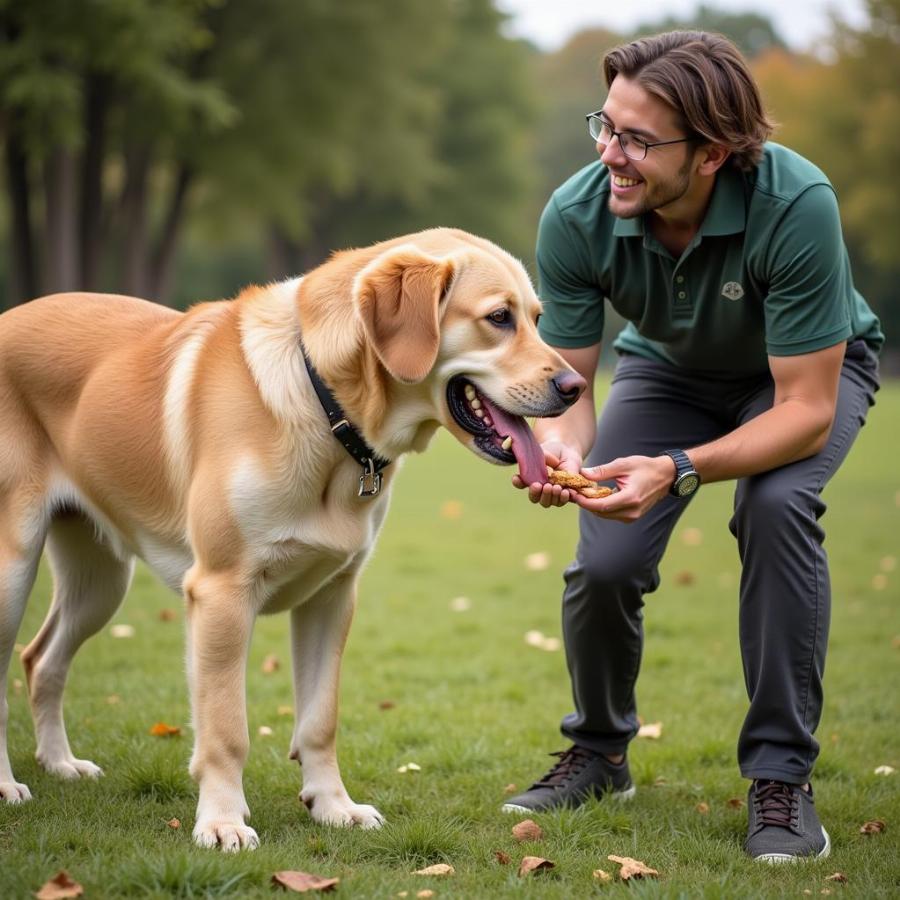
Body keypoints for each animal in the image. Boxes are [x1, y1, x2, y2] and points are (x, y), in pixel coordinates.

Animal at [0, 229, 584, 848]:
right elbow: (226, 729)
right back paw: (9, 785)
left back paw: (61, 763)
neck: (325, 404)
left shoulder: (331, 595)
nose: (575, 386)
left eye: (538, 318)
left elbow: (319, 721)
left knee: (41, 659)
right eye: (498, 317)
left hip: (101, 581)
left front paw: (333, 806)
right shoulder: (221, 593)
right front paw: (223, 821)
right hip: (14, 571)